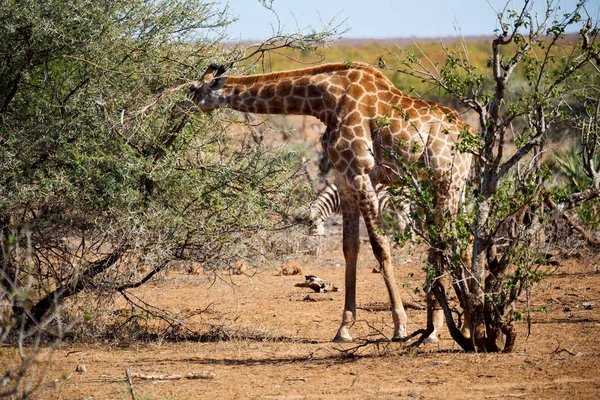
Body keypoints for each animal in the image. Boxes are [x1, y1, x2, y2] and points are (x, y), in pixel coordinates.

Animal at [189, 62, 474, 344]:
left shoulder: (361, 173)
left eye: (193, 88)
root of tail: (469, 134)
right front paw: (344, 328)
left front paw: (400, 326)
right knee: (462, 241)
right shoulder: (344, 178)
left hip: (445, 181)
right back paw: (460, 326)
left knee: (446, 242)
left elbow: (380, 247)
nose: (183, 106)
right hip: (454, 186)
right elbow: (350, 248)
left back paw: (441, 329)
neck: (327, 101)